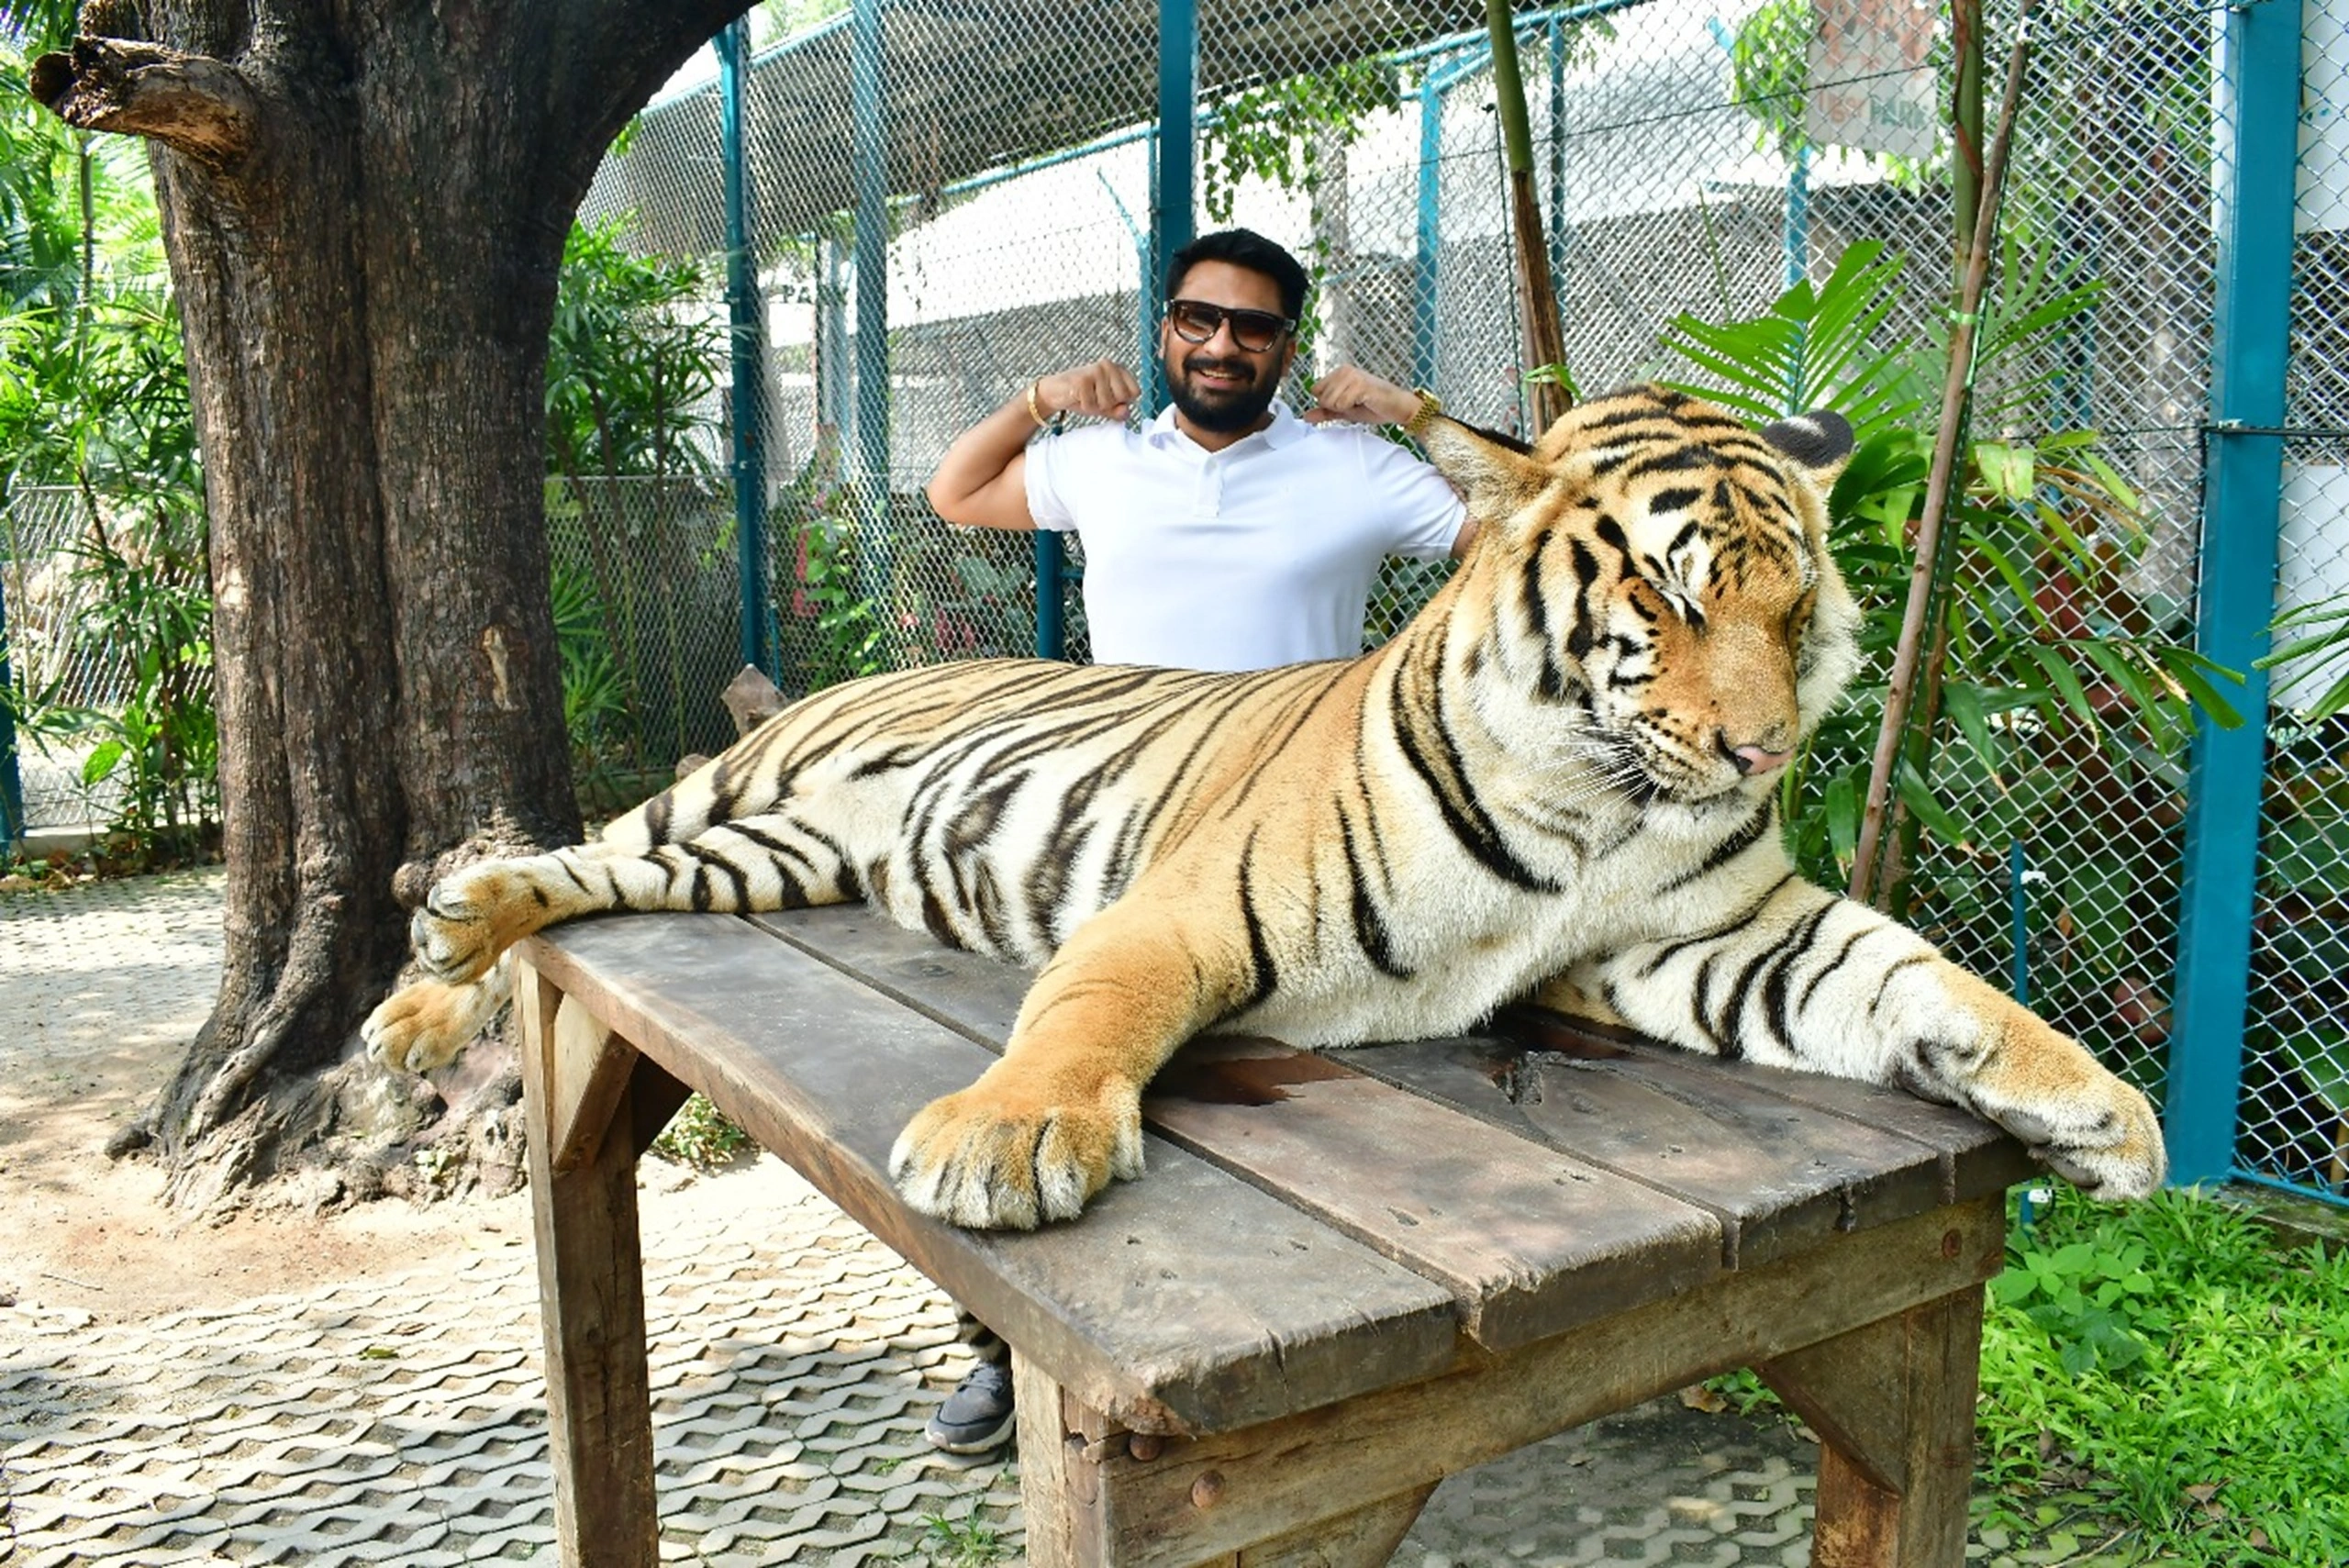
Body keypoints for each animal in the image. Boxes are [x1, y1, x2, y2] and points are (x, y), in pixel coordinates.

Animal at [364, 383, 2166, 1230]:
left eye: (1795, 614)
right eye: (1665, 596)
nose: (1758, 755)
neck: (1600, 804)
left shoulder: (1715, 936)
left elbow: (1914, 973)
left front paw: (2099, 1108)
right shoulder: (1184, 904)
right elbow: (1089, 1005)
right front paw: (1009, 1137)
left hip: (772, 857)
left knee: (612, 876)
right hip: (745, 792)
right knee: (588, 847)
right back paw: (427, 973)